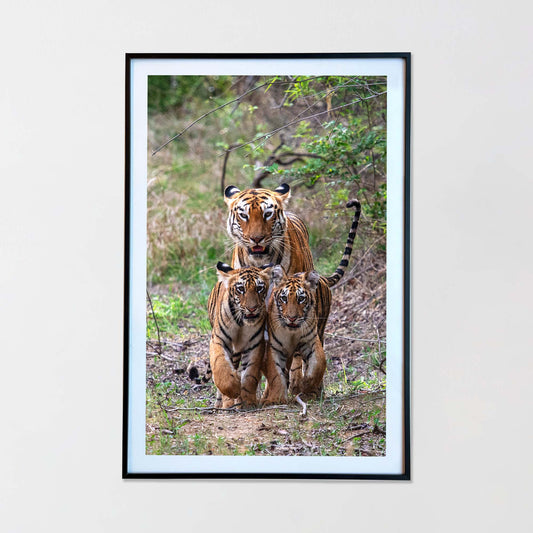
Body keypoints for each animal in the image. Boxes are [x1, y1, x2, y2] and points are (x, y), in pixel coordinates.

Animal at [207, 262, 272, 408]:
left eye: (259, 288)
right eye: (241, 289)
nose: (252, 308)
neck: (241, 323)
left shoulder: (255, 344)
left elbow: (250, 374)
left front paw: (248, 401)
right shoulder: (219, 339)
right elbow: (220, 366)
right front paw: (233, 390)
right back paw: (223, 403)